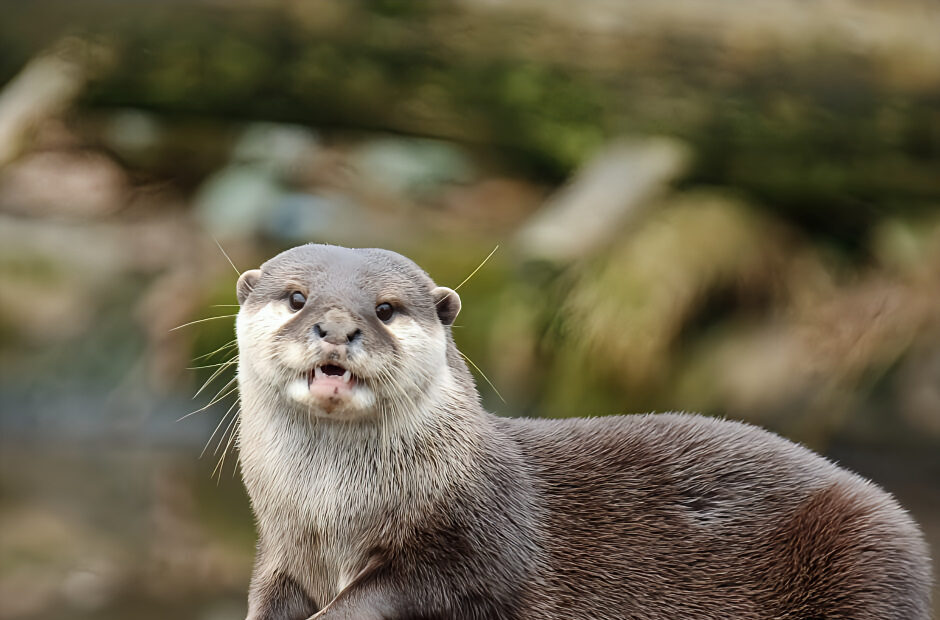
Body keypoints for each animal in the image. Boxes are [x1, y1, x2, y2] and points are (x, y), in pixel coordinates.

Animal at [233, 243, 932, 620]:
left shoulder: (480, 541)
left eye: (385, 309)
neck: (335, 516)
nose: (337, 326)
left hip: (868, 553)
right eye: (296, 298)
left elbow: (410, 591)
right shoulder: (280, 553)